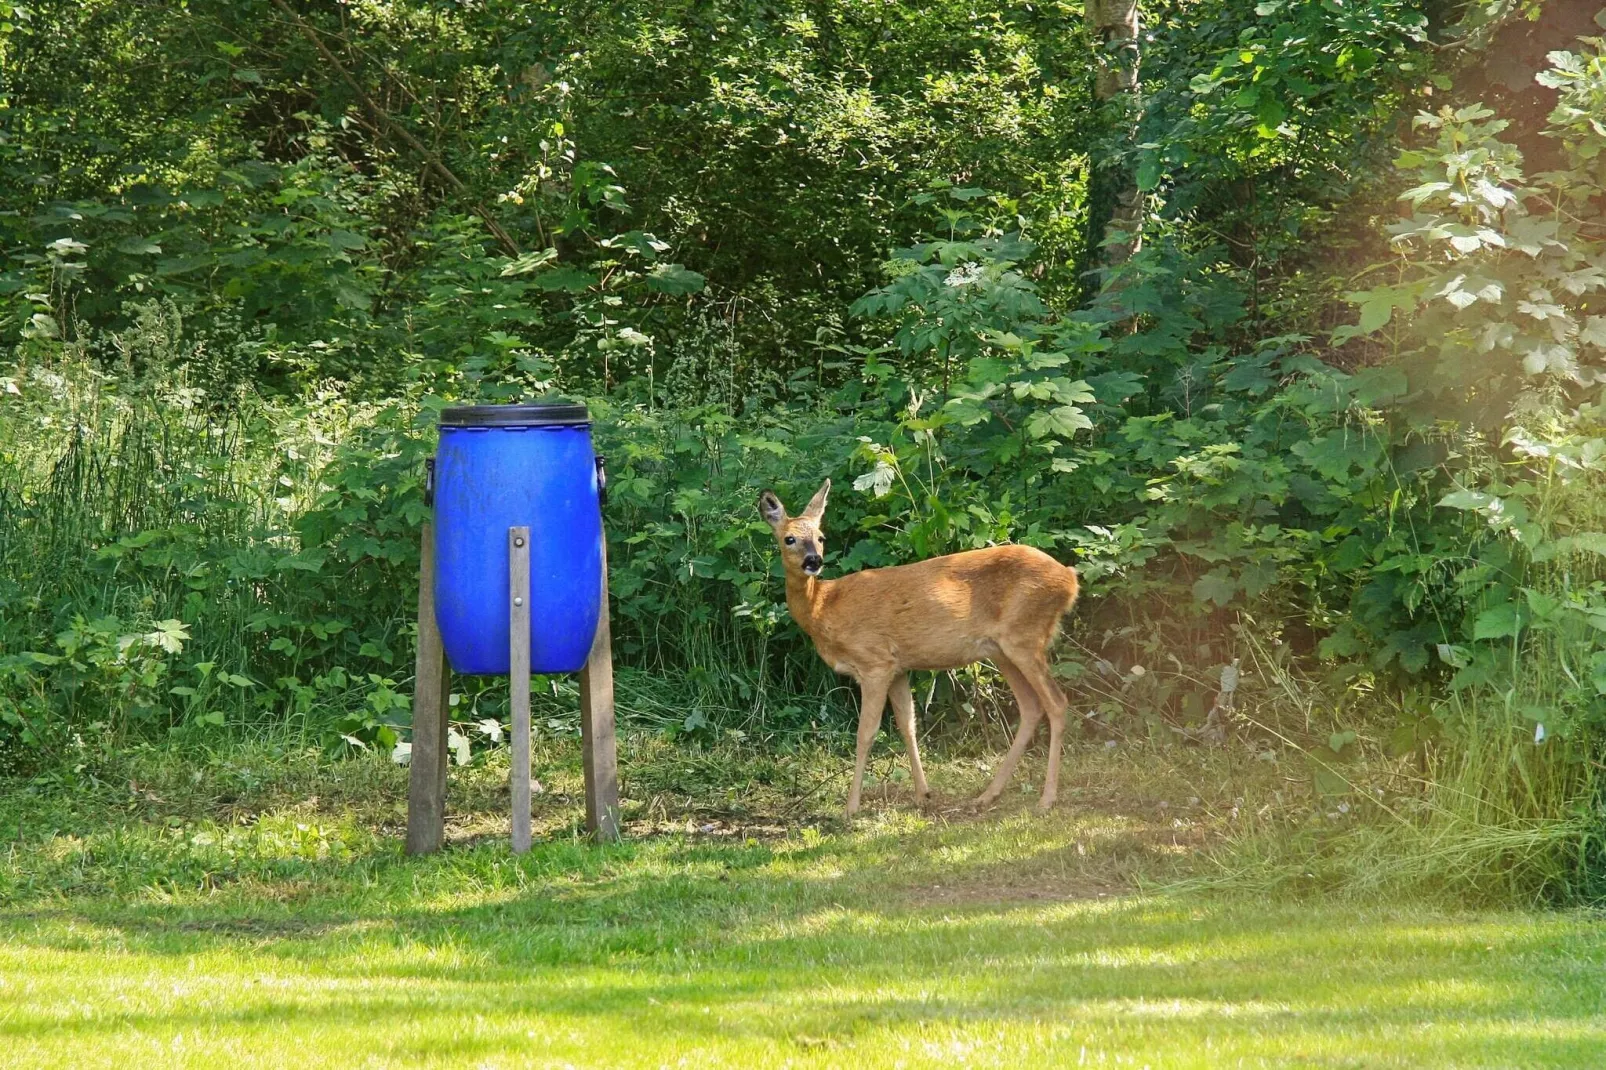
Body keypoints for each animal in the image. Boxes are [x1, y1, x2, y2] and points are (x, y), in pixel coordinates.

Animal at [761, 478, 1085, 812]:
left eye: (821, 537)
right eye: (789, 539)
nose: (814, 561)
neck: (822, 607)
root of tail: (1070, 579)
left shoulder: (875, 662)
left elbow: (866, 733)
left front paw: (851, 807)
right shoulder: (898, 667)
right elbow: (908, 725)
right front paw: (923, 794)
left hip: (1025, 637)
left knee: (1056, 703)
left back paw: (1046, 798)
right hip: (1002, 649)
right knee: (1031, 706)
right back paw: (988, 794)